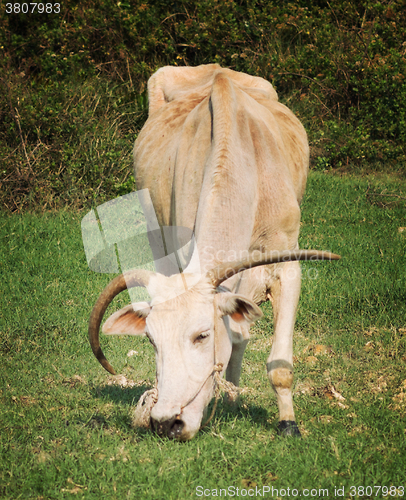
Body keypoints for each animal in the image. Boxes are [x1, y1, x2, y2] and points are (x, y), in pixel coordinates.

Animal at [89, 63, 340, 442]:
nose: (167, 422)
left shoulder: (287, 266)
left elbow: (279, 363)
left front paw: (288, 423)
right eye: (151, 340)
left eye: (202, 335)